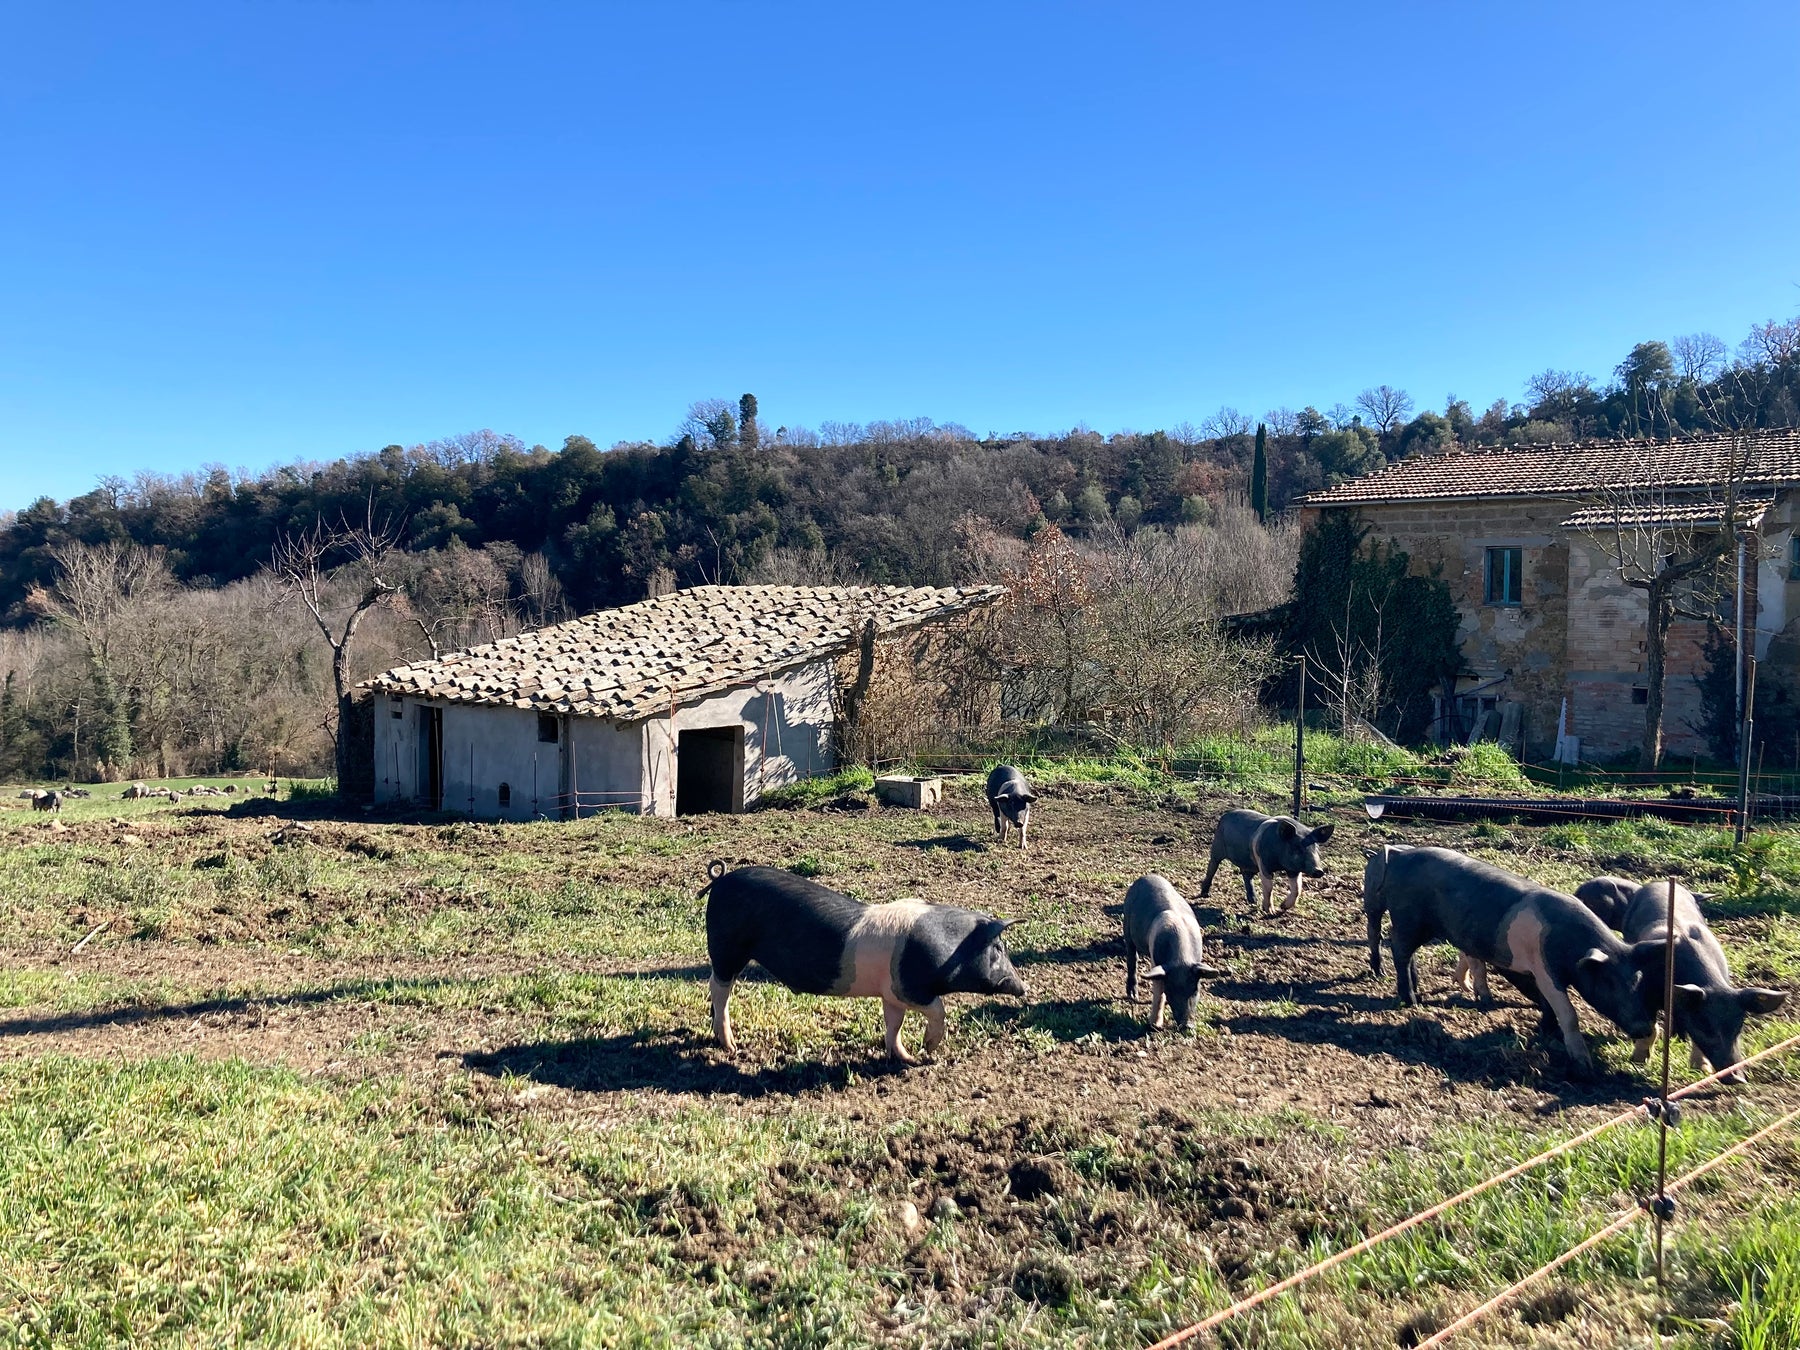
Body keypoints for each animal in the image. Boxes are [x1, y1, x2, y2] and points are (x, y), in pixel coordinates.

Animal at [698, 867, 1022, 1065]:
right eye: (999, 948)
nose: (1024, 987)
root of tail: (721, 880)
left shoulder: (892, 995)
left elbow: (894, 1024)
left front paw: (905, 1058)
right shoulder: (908, 988)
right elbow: (938, 1010)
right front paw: (928, 1051)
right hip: (728, 948)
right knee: (718, 987)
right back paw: (731, 1047)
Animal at [1116, 878, 1231, 1036]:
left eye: (1195, 990)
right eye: (1170, 989)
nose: (1187, 1026)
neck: (1181, 959)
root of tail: (1145, 877)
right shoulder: (1158, 964)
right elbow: (1158, 993)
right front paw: (1154, 1026)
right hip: (1127, 926)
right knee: (1132, 959)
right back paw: (1133, 996)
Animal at [1195, 813, 1339, 921]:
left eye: (1316, 847)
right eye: (1297, 847)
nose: (1318, 871)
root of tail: (1226, 814)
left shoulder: (1293, 870)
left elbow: (1297, 889)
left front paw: (1283, 907)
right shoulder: (1264, 864)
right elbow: (1269, 887)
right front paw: (1270, 912)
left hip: (1250, 864)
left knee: (1246, 875)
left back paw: (1253, 901)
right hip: (1216, 849)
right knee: (1212, 868)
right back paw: (1205, 893)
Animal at [1368, 846, 1663, 1080]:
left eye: (1639, 985)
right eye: (1611, 984)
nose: (1646, 1028)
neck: (1570, 945)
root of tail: (1399, 856)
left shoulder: (1538, 972)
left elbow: (1548, 1004)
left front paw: (1547, 1031)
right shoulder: (1546, 969)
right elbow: (1568, 1012)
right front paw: (1583, 1066)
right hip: (1408, 918)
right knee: (1399, 951)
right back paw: (1410, 1000)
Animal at [1612, 878, 1778, 1087]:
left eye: (1738, 1026)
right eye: (1704, 1025)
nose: (1737, 1078)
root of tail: (1661, 882)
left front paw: (1701, 1070)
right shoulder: (1644, 993)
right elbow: (1651, 1028)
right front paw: (1638, 1061)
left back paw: (1678, 1037)